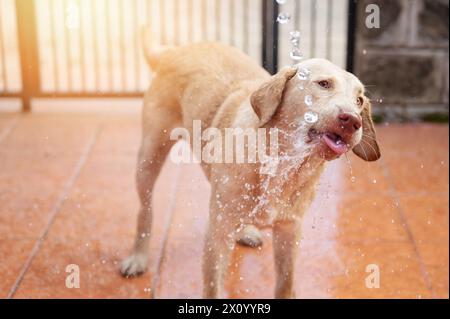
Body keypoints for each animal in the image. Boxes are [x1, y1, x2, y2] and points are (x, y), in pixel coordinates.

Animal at [120, 42, 380, 300]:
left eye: (359, 100)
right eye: (324, 83)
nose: (353, 121)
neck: (280, 163)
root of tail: (174, 51)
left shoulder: (289, 230)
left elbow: (285, 283)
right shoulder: (218, 232)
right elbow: (213, 287)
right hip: (149, 156)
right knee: (145, 209)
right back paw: (138, 256)